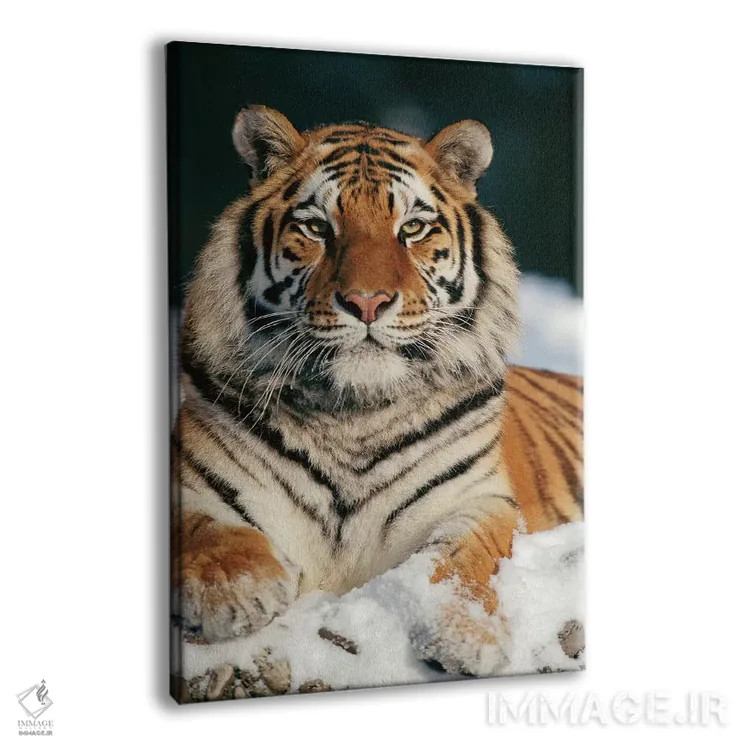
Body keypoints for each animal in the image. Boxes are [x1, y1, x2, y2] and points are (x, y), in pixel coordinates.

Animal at [171, 105, 583, 683]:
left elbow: (464, 558)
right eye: (317, 228)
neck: (353, 412)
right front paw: (239, 592)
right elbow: (200, 523)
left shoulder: (478, 499)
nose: (367, 302)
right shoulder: (189, 473)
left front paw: (468, 635)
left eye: (411, 228)